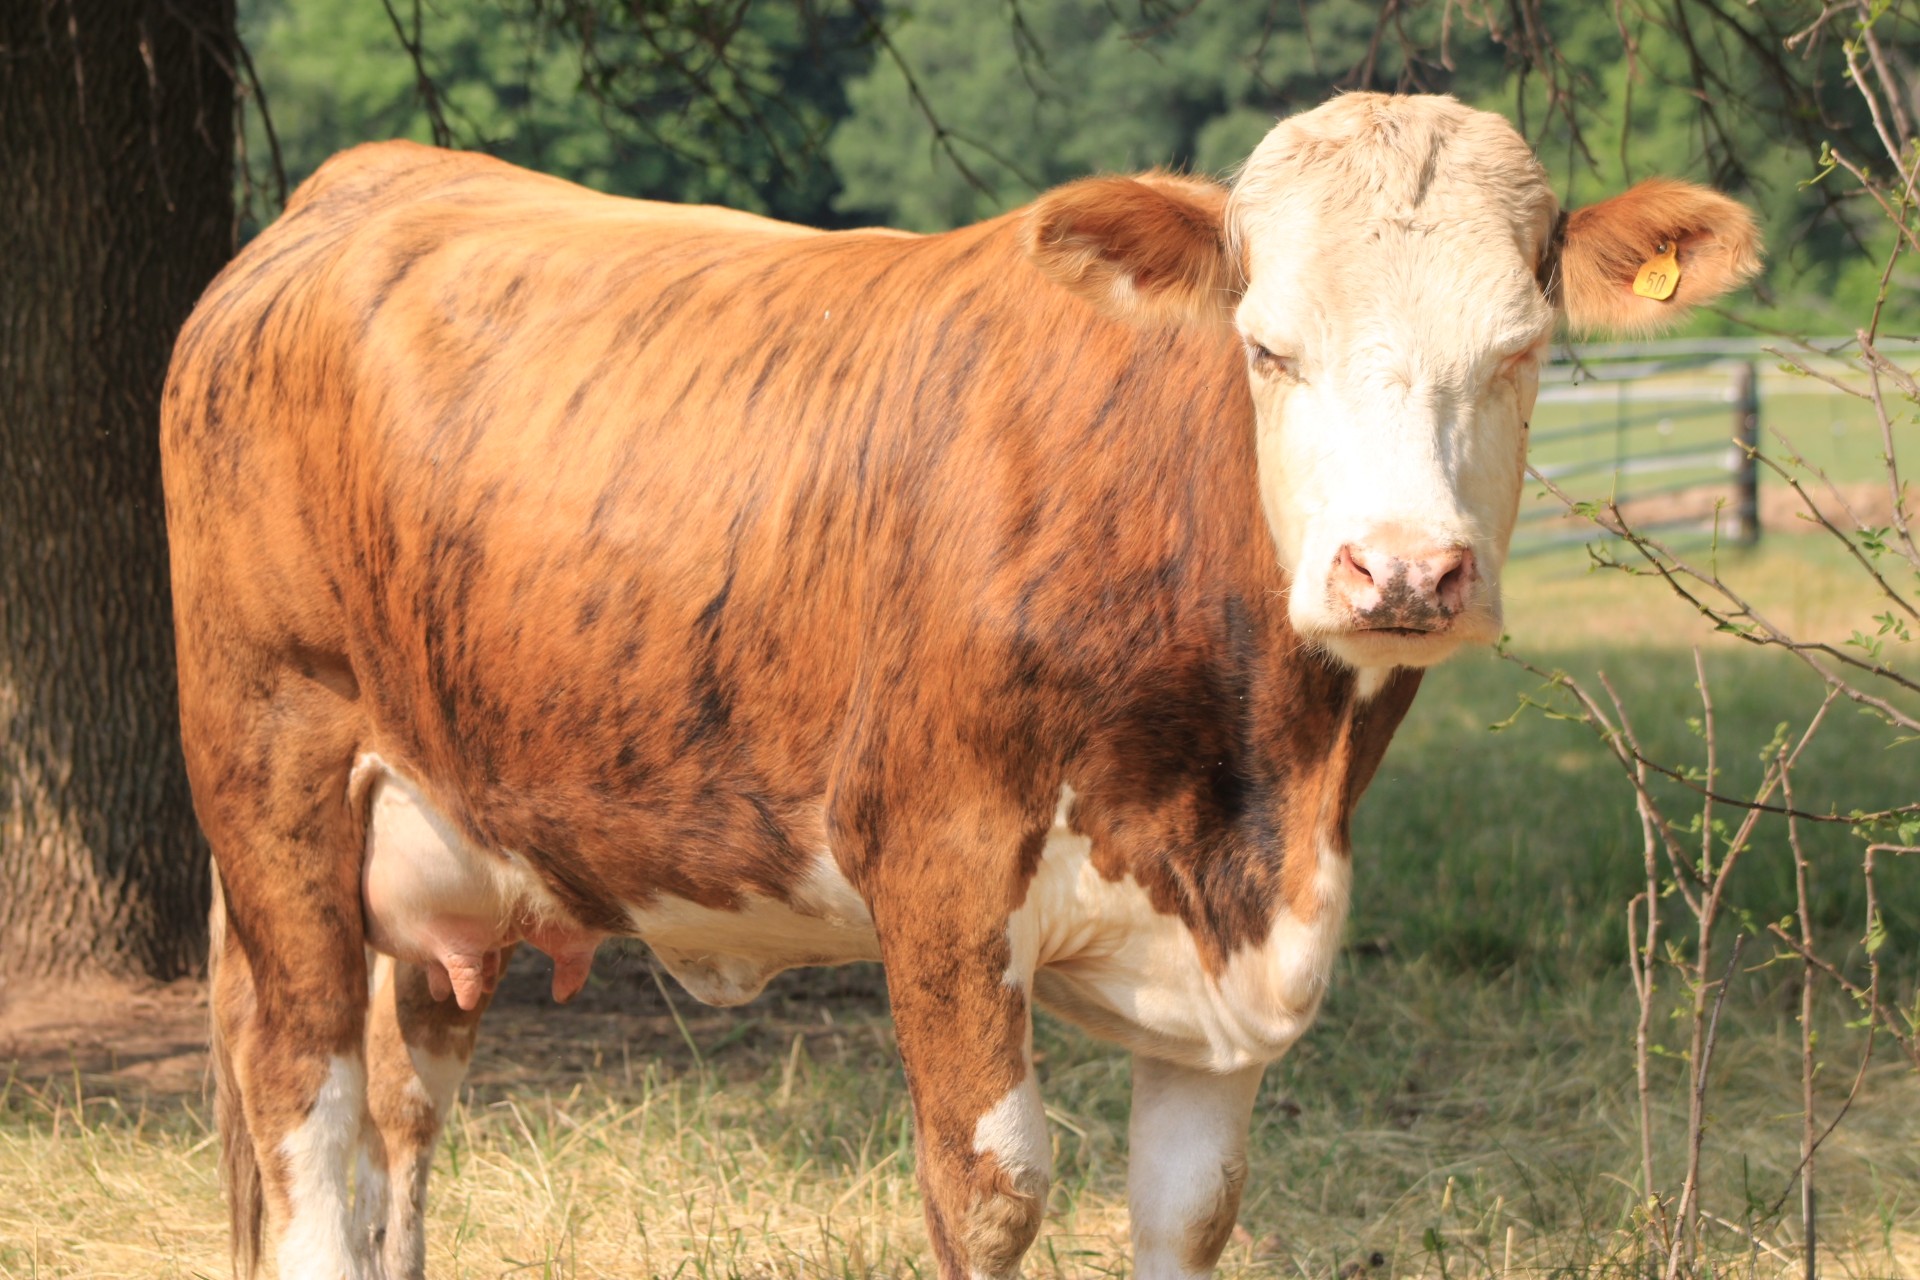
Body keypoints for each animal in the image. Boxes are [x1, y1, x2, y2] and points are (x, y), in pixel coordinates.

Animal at [161, 91, 1758, 1280]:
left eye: (1523, 350)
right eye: (1267, 347)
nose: (1406, 572)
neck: (1265, 782)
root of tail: (353, 190)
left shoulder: (1230, 949)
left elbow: (1193, 1206)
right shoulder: (937, 876)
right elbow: (991, 1191)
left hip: (442, 847)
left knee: (400, 1112)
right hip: (275, 780)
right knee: (303, 1104)